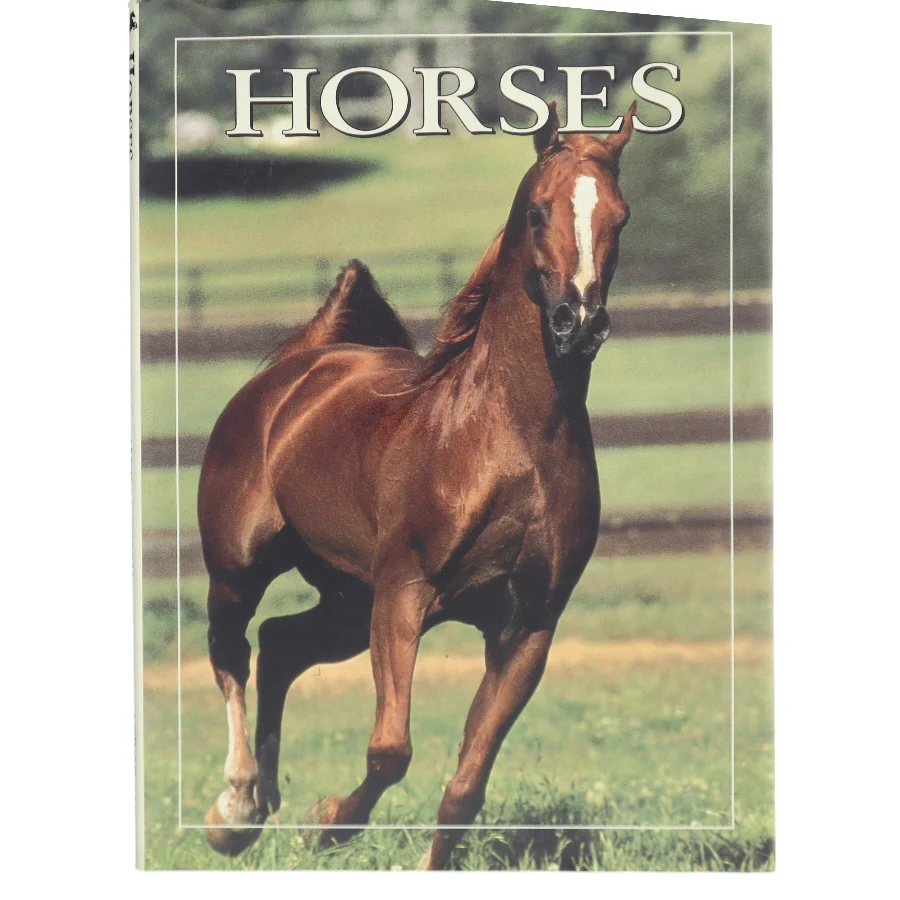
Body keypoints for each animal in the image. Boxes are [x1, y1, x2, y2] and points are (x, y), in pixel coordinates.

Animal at [199, 100, 636, 869]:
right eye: (538, 211)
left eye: (622, 216)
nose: (578, 323)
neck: (507, 442)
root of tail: (300, 368)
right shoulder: (404, 595)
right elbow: (390, 751)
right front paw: (328, 823)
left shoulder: (527, 625)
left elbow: (465, 788)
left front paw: (324, 820)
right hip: (241, 568)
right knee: (231, 654)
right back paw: (237, 811)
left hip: (346, 598)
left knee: (280, 645)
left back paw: (269, 801)